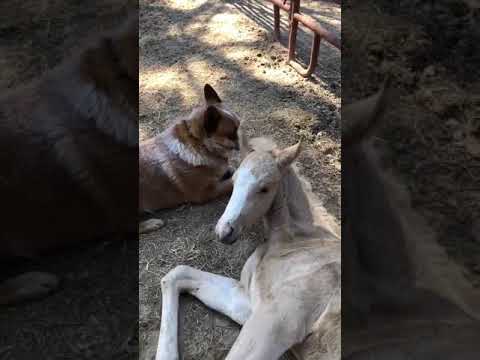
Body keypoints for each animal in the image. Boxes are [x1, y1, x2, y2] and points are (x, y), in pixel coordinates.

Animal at [141, 84, 242, 232]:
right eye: (232, 133)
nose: (241, 142)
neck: (200, 143)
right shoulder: (208, 192)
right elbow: (231, 182)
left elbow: (231, 170)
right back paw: (151, 223)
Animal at [156, 136, 340, 358]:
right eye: (234, 181)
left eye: (265, 188)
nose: (224, 232)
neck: (297, 241)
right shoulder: (249, 300)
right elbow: (178, 273)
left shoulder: (278, 319)